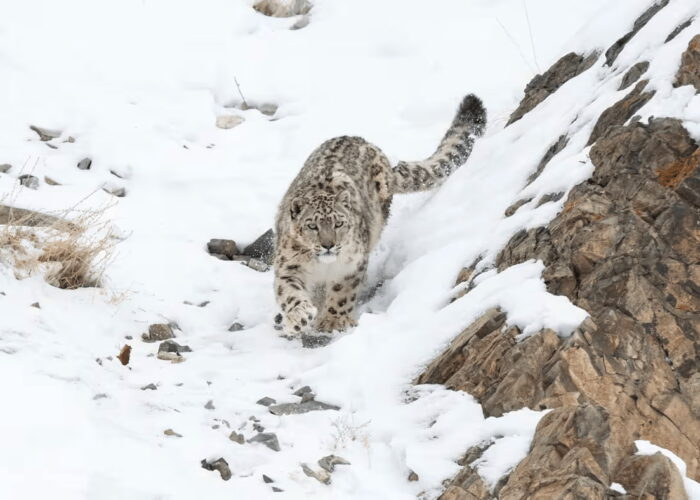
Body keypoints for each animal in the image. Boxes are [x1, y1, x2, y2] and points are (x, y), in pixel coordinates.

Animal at [273, 94, 486, 336]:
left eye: (338, 224)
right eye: (312, 226)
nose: (328, 245)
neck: (323, 267)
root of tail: (361, 139)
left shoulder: (352, 264)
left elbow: (342, 292)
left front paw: (333, 320)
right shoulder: (288, 266)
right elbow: (290, 293)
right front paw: (298, 318)